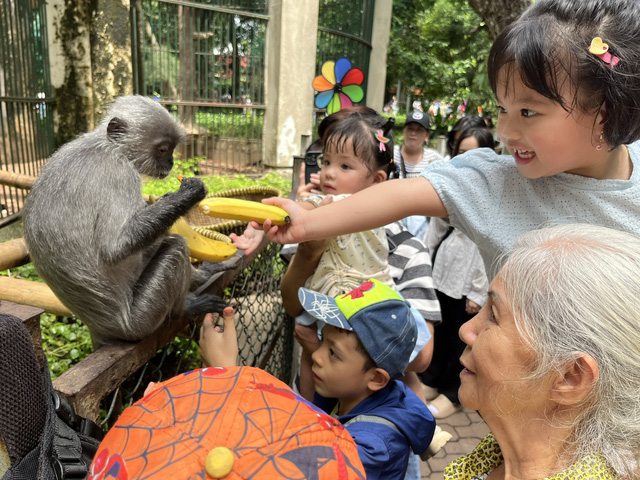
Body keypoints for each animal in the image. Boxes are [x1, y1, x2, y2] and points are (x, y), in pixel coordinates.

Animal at [23, 95, 228, 346]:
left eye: (171, 150)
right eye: (163, 149)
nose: (171, 162)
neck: (107, 146)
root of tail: (102, 329)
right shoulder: (120, 172)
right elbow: (115, 248)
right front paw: (189, 192)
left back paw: (202, 277)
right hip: (142, 319)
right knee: (176, 246)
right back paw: (185, 308)